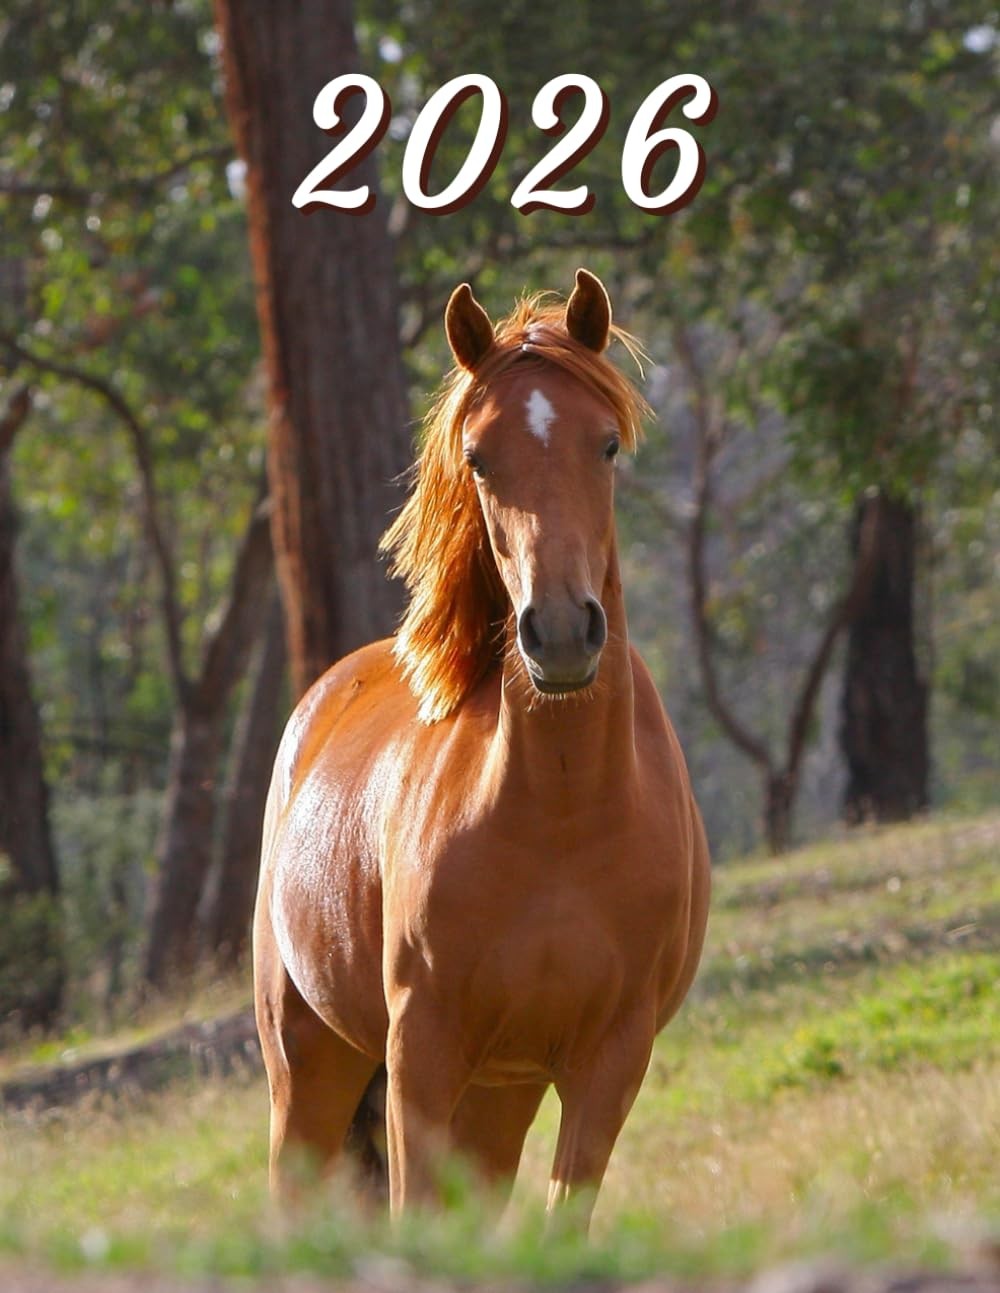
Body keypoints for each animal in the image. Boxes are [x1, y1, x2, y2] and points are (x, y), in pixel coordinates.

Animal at [253, 269, 710, 1229]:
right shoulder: (422, 1050)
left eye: (606, 446)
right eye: (479, 458)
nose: (562, 632)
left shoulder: (607, 1061)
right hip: (310, 1069)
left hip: (501, 1093)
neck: (564, 813)